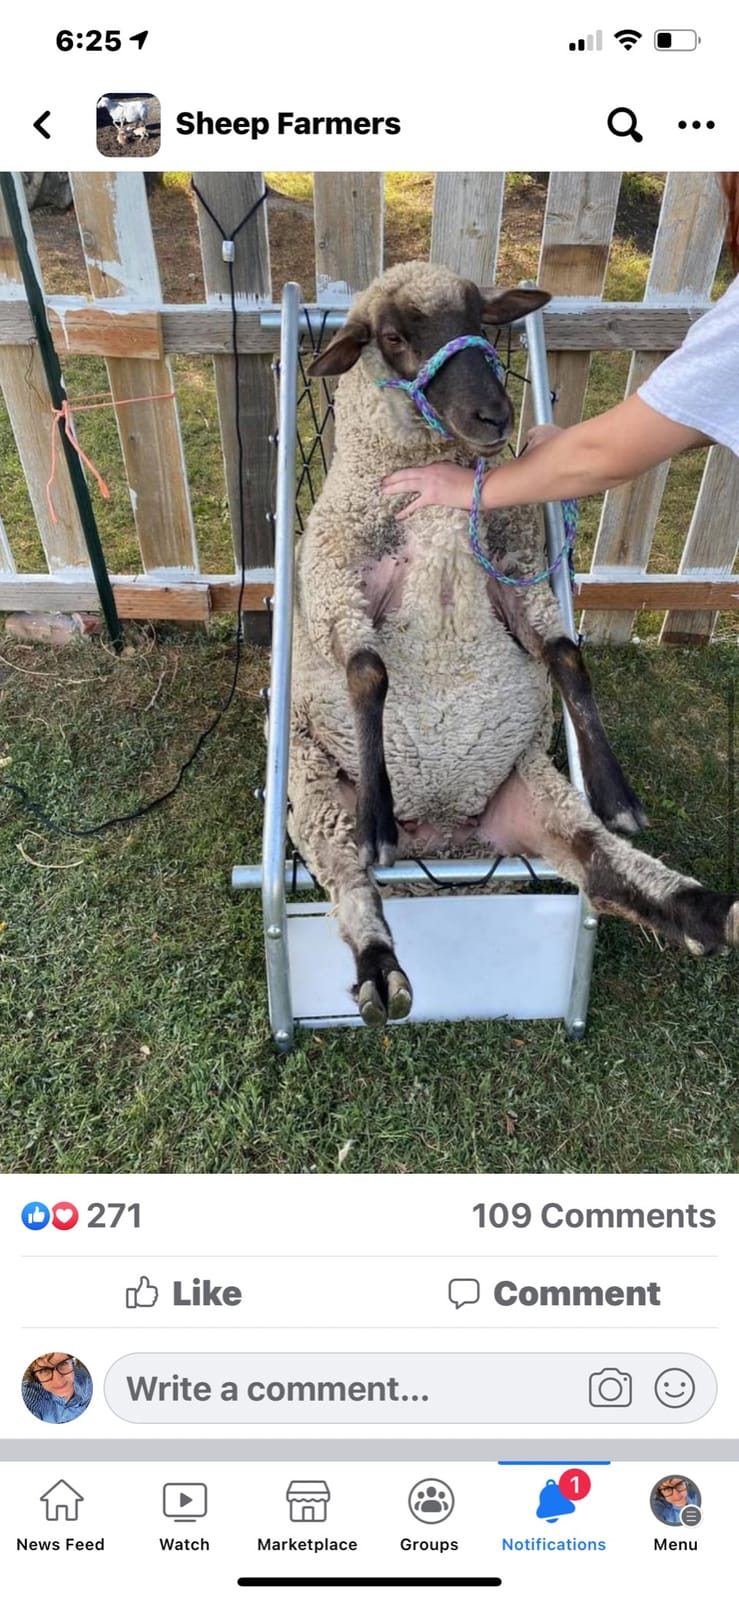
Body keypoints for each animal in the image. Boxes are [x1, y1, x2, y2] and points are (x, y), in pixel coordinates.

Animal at [287, 260, 739, 1026]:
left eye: (482, 320)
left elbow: (565, 655)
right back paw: (380, 965)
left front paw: (616, 790)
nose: (495, 418)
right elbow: (368, 671)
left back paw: (709, 911)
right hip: (315, 794)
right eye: (391, 337)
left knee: (604, 869)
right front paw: (379, 815)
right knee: (349, 880)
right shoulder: (333, 585)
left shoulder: (516, 571)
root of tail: (445, 847)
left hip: (534, 795)